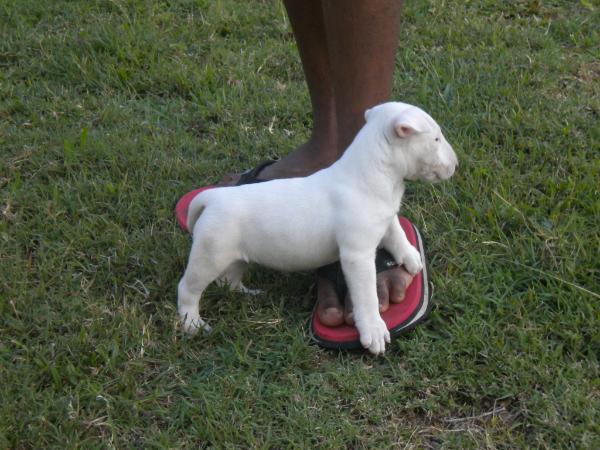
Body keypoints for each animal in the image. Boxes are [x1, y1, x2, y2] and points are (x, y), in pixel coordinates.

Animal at [178, 102, 460, 356]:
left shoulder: (386, 217)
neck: (372, 173)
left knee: (229, 279)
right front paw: (374, 330)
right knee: (188, 288)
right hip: (210, 255)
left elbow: (396, 233)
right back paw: (192, 323)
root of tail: (213, 198)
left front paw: (412, 257)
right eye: (436, 138)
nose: (456, 164)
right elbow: (367, 294)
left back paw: (248, 294)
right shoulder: (357, 256)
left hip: (235, 256)